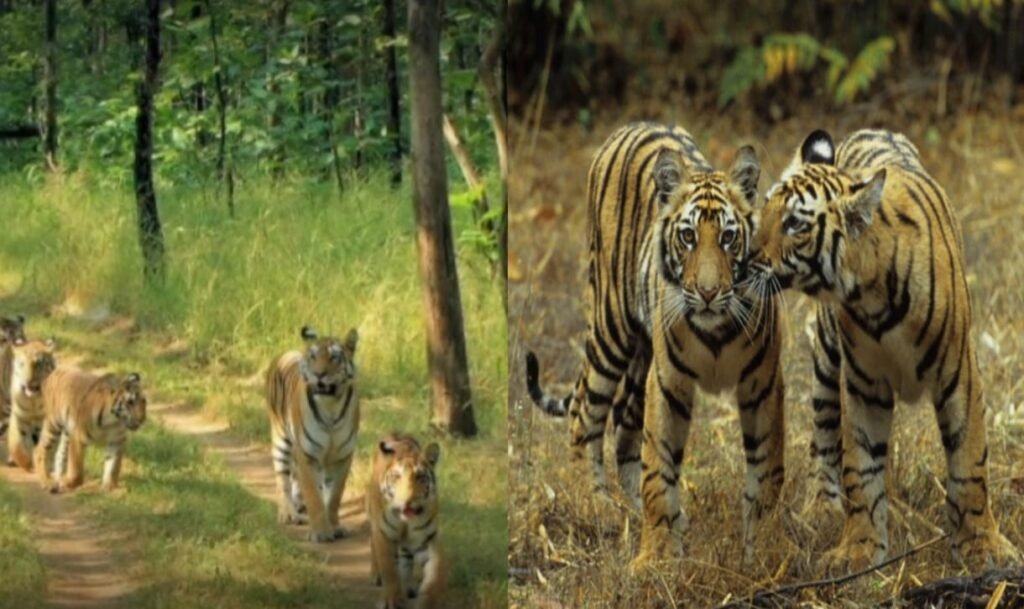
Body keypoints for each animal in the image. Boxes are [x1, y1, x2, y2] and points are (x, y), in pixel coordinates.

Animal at [6, 337, 56, 471]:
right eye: (22, 364)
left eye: (38, 364)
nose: (28, 381)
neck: (32, 402)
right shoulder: (20, 417)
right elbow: (18, 444)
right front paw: (26, 462)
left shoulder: (44, 420)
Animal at [266, 325, 359, 543]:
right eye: (313, 356)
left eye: (334, 357)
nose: (319, 374)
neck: (331, 407)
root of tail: (283, 354)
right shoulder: (307, 454)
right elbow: (314, 495)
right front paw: (321, 532)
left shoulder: (342, 457)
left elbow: (334, 496)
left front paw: (334, 526)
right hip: (281, 440)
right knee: (283, 480)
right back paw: (288, 512)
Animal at [367, 433, 445, 609]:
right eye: (397, 477)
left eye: (420, 476)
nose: (408, 500)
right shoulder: (384, 535)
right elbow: (389, 570)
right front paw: (391, 600)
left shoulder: (429, 541)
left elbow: (434, 577)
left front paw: (427, 602)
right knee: (373, 544)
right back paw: (376, 575)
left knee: (405, 559)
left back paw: (408, 587)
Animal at [524, 122, 786, 568]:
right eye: (688, 236)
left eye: (729, 238)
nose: (708, 292)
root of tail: (630, 126)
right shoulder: (668, 382)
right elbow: (659, 468)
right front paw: (658, 557)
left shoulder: (763, 383)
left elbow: (767, 471)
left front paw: (766, 548)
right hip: (611, 328)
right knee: (585, 412)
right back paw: (594, 504)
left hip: (640, 356)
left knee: (624, 428)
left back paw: (631, 508)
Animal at [749, 128, 1019, 568]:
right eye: (765, 206)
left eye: (793, 224)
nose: (741, 259)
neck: (869, 294)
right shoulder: (864, 383)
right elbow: (860, 469)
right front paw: (859, 549)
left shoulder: (959, 374)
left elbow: (969, 463)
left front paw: (983, 546)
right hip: (827, 359)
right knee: (824, 431)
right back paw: (823, 507)